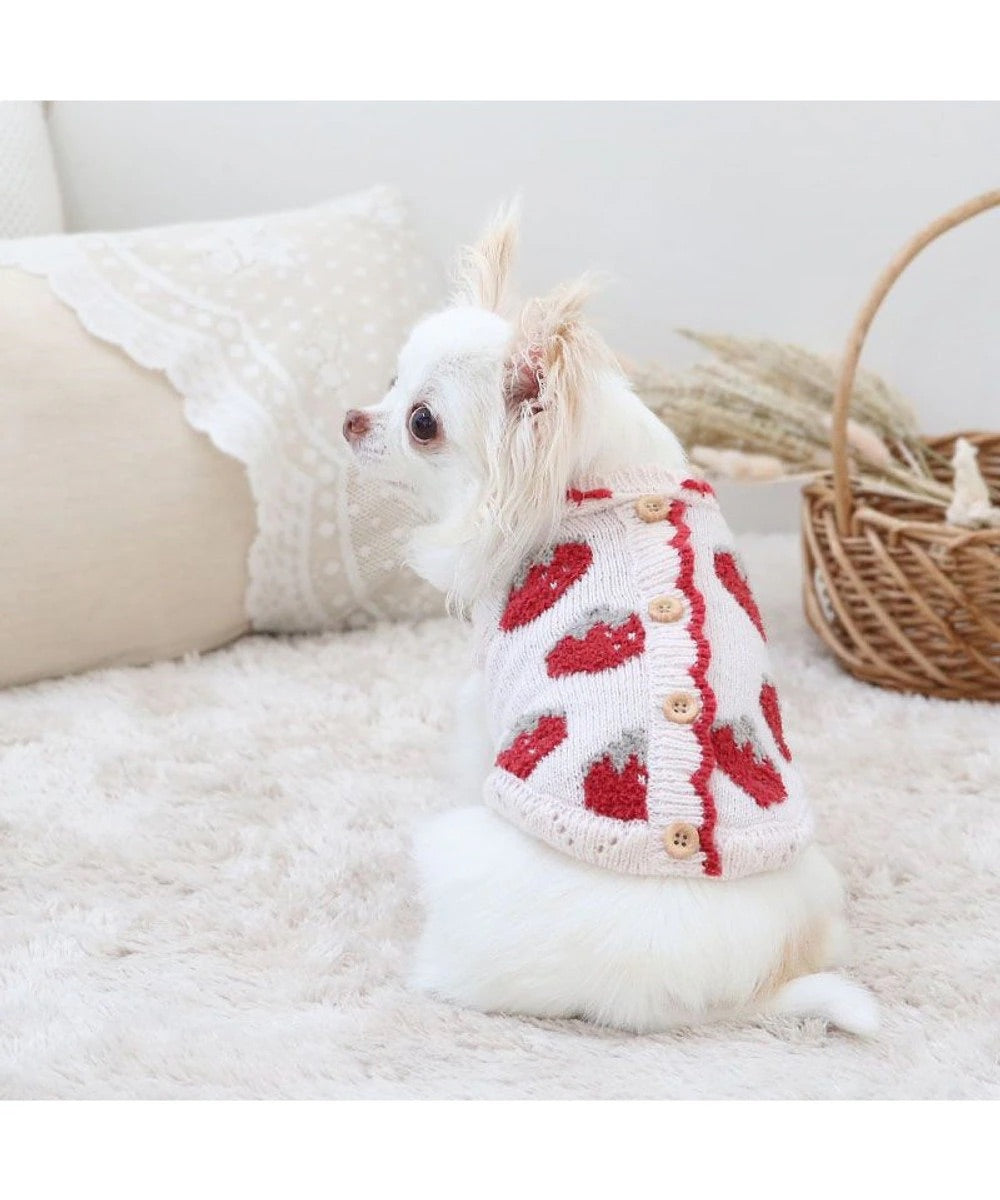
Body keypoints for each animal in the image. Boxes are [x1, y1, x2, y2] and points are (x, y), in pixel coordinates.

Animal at [343, 201, 873, 1036]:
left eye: (421, 422)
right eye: (390, 383)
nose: (352, 420)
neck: (593, 475)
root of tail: (728, 995)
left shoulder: (484, 692)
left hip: (456, 860)